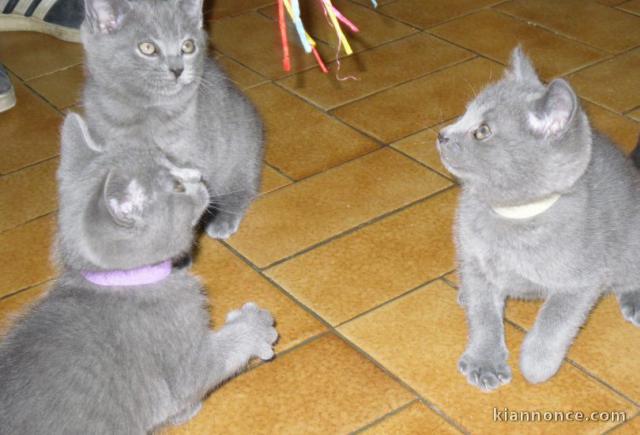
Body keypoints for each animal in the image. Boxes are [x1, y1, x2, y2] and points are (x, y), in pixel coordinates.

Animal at [0, 114, 280, 434]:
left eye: (167, 157)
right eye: (177, 186)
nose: (198, 174)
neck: (122, 280)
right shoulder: (185, 360)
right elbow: (216, 360)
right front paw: (253, 325)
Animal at [80, 0, 264, 240]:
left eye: (187, 46)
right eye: (147, 48)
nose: (178, 69)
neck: (144, 111)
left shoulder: (191, 159)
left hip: (239, 153)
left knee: (242, 188)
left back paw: (223, 220)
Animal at [438, 46, 640, 392]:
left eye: (482, 131)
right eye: (465, 114)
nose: (442, 135)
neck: (513, 215)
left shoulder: (581, 282)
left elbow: (553, 323)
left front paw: (535, 367)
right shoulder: (474, 260)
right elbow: (483, 313)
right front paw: (484, 360)